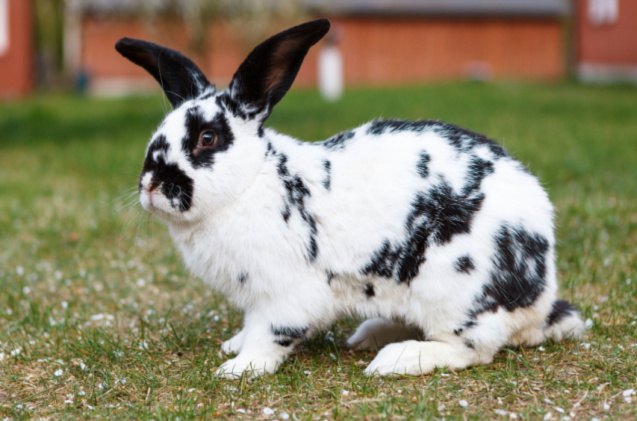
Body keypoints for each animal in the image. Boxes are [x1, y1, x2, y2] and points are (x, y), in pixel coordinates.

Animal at [114, 18, 580, 378]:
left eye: (207, 138)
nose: (150, 184)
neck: (251, 182)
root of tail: (540, 296)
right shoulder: (256, 298)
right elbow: (250, 326)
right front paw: (233, 345)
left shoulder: (285, 295)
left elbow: (269, 334)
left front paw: (238, 367)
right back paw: (368, 335)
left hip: (455, 292)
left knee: (472, 349)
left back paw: (394, 359)